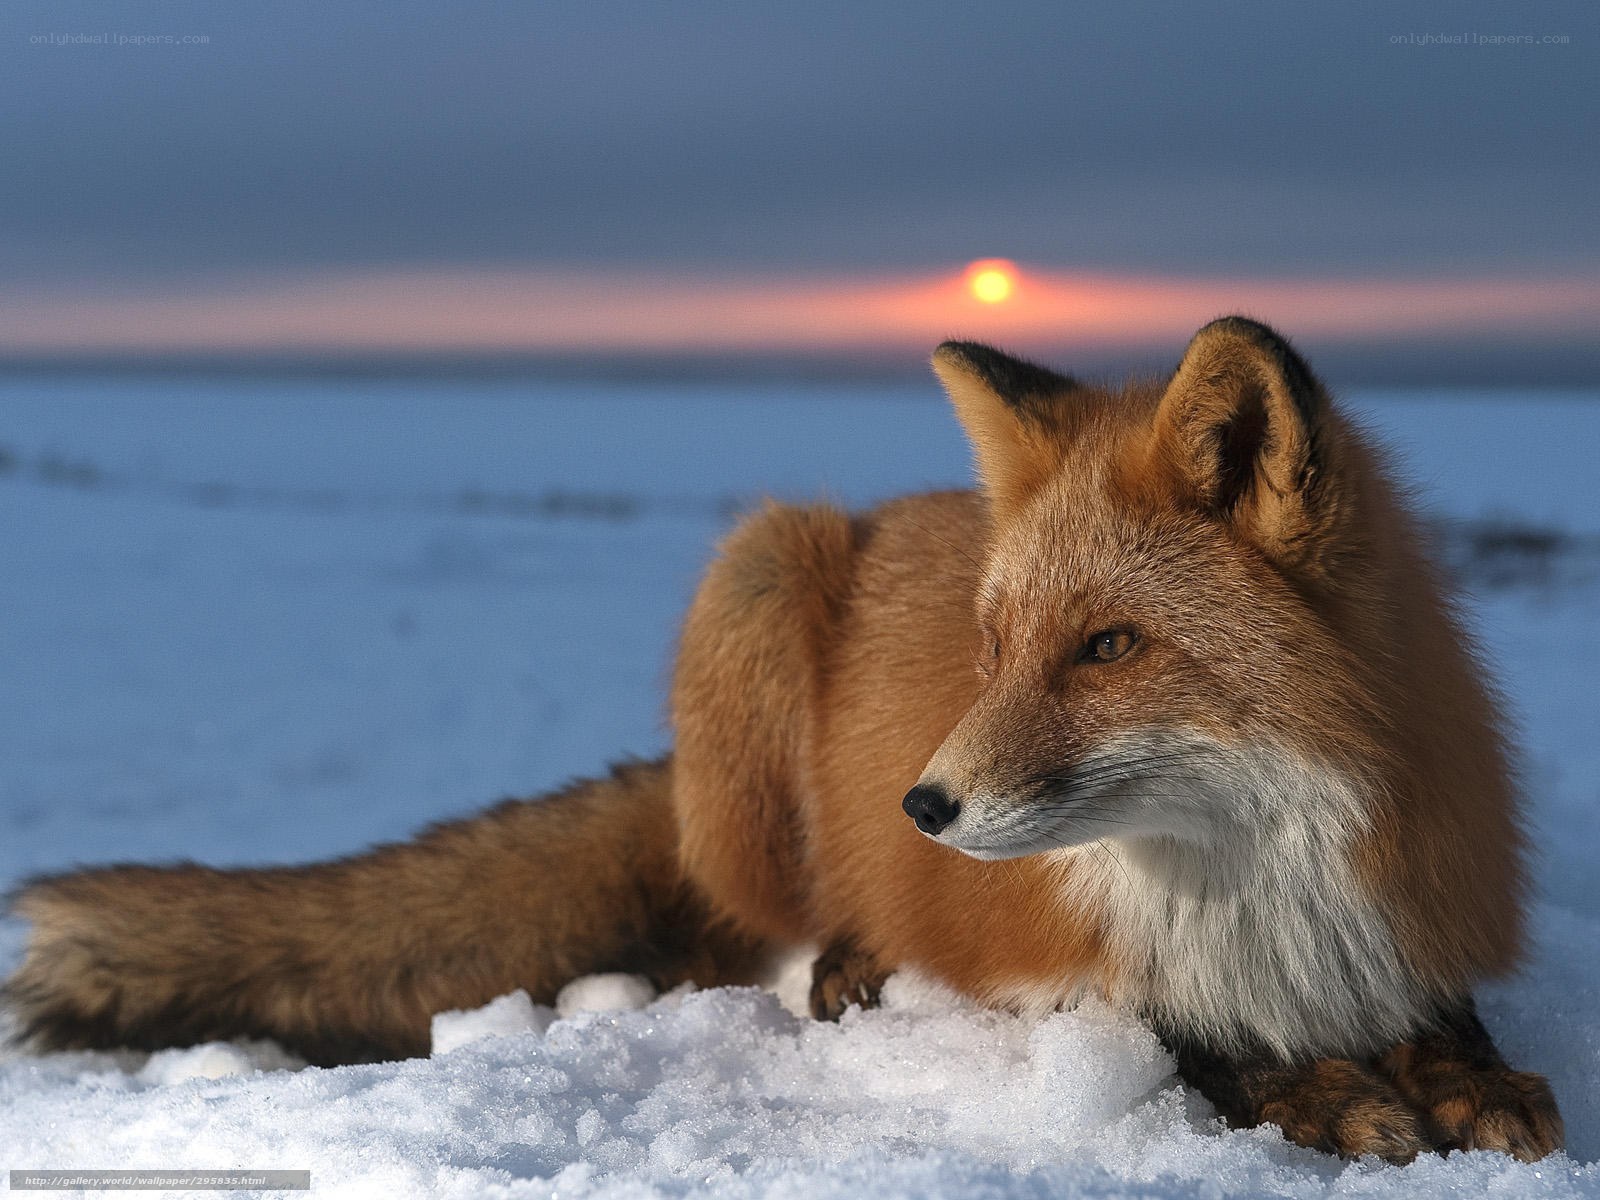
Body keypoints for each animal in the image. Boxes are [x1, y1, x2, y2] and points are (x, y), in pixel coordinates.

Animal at [3, 318, 1563, 1163]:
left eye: (1109, 647)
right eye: (993, 649)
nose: (921, 807)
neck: (1255, 886)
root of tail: (890, 510)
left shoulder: (1408, 914)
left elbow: (1452, 1024)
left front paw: (1469, 1083)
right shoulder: (1067, 971)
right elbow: (1194, 1043)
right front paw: (1328, 1095)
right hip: (757, 575)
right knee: (742, 932)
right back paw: (846, 964)